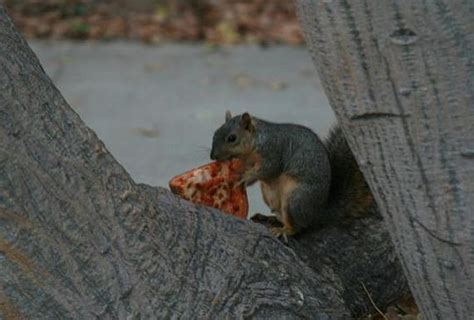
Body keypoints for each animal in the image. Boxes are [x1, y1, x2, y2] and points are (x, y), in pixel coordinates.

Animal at [211, 111, 374, 241]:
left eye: (232, 138)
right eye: (215, 133)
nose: (213, 156)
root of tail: (318, 214)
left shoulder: (273, 152)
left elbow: (268, 170)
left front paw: (244, 177)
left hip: (295, 199)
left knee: (299, 226)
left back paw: (284, 230)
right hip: (270, 195)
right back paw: (269, 218)